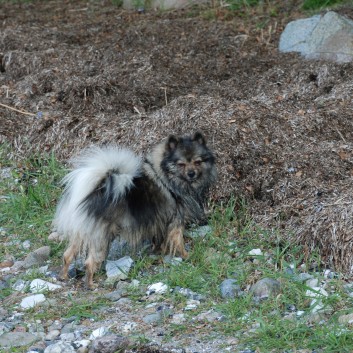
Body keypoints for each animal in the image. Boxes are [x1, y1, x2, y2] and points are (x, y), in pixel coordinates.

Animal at [53, 131, 216, 286]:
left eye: (197, 162)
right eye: (181, 164)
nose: (191, 173)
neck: (167, 177)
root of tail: (93, 191)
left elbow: (160, 240)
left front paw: (159, 252)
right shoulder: (176, 222)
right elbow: (178, 242)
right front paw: (186, 256)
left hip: (82, 234)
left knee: (67, 255)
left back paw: (63, 276)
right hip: (100, 238)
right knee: (89, 262)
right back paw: (90, 284)